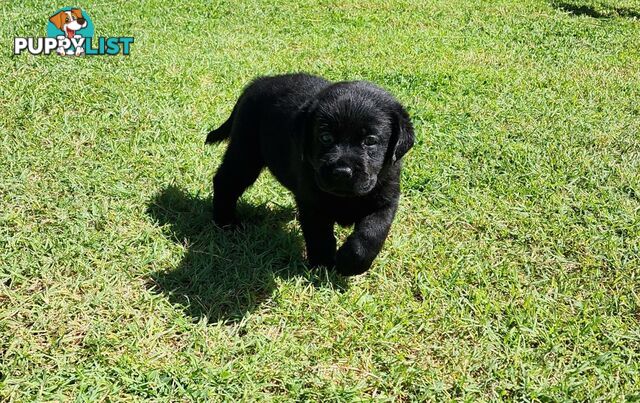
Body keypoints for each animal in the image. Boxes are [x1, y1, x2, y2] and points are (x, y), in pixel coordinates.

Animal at [206, 73, 416, 278]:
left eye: (370, 140)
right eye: (325, 137)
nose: (342, 172)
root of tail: (259, 81)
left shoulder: (386, 200)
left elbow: (371, 235)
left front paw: (349, 264)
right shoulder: (312, 201)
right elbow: (319, 235)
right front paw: (323, 266)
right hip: (245, 153)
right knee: (225, 181)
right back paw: (226, 222)